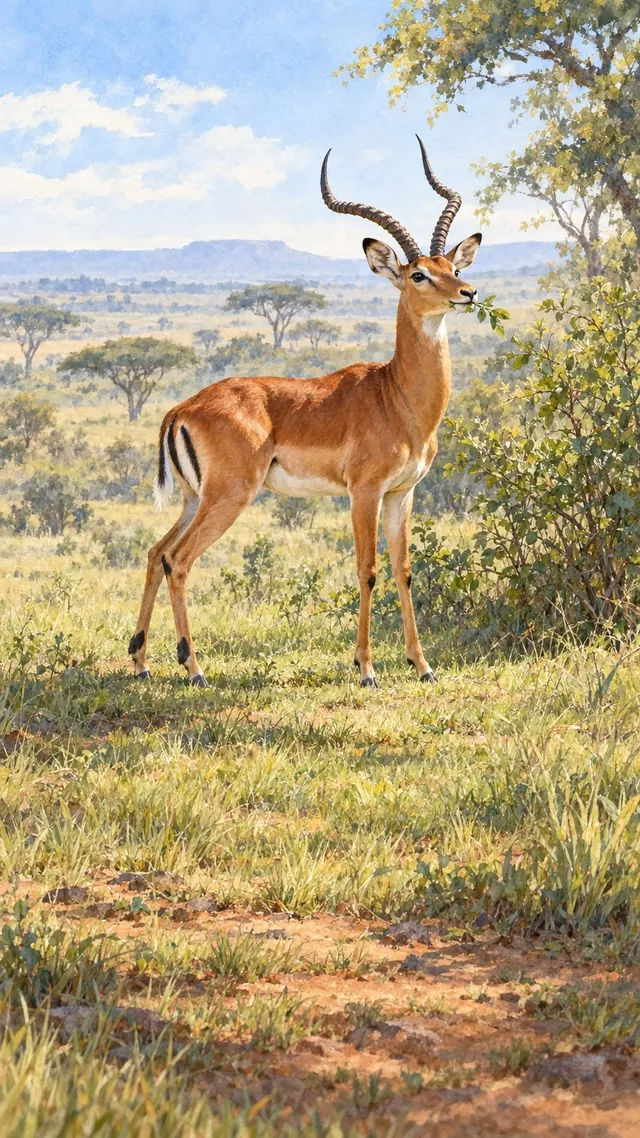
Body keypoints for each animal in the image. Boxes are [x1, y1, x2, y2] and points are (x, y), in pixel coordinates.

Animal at [128, 137, 482, 688]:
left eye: (455, 268)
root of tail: (181, 408)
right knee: (178, 560)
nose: (468, 293)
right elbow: (367, 570)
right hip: (229, 497)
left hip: (192, 499)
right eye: (418, 274)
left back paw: (142, 662)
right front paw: (366, 669)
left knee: (155, 551)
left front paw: (423, 666)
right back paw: (194, 668)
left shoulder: (402, 493)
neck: (397, 397)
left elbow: (403, 571)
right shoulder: (364, 492)